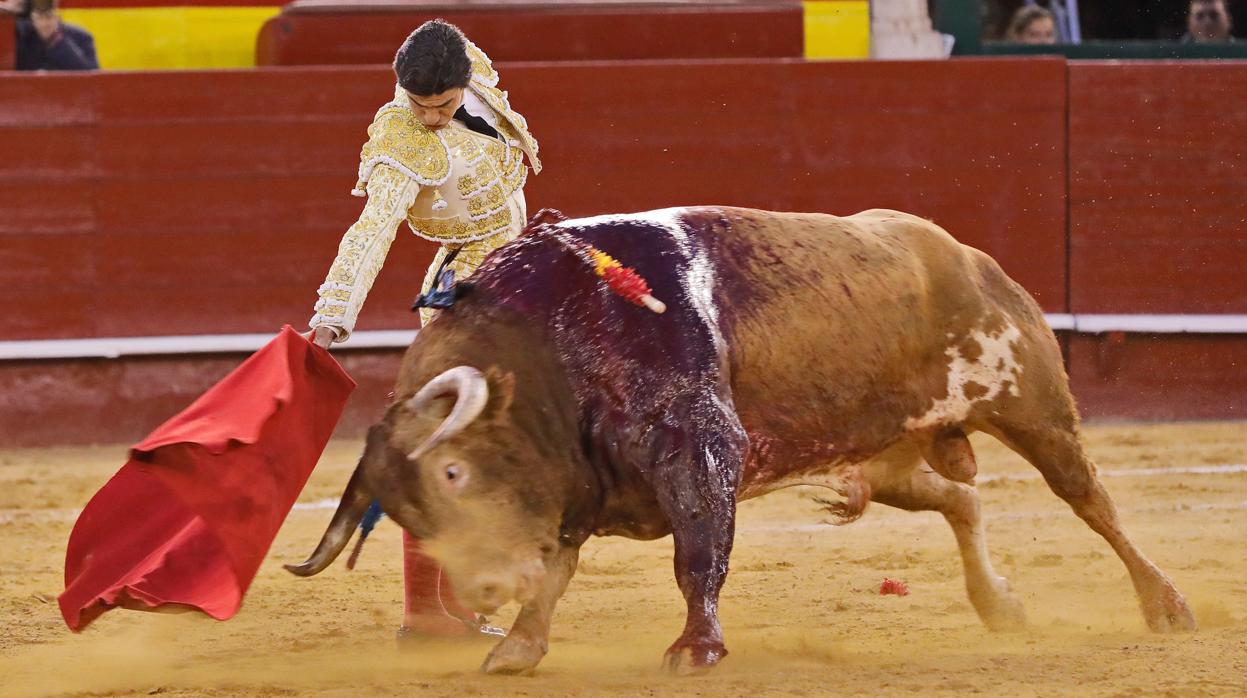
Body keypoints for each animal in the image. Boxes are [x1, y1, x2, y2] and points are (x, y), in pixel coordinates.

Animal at [286, 208, 1192, 678]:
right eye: (409, 518)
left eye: (453, 470)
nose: (481, 590)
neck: (550, 338)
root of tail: (966, 256)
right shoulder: (577, 484)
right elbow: (558, 570)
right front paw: (517, 648)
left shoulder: (700, 453)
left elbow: (697, 558)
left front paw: (696, 649)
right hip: (888, 457)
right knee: (961, 498)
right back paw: (998, 604)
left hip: (1031, 406)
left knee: (1091, 503)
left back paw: (1165, 605)